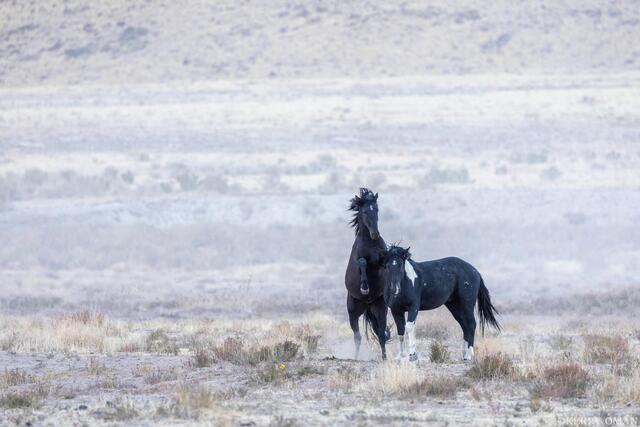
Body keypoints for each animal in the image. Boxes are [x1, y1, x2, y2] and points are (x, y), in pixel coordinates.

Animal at [344, 188, 389, 360]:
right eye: (364, 211)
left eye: (376, 209)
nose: (375, 234)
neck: (370, 243)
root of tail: (368, 303)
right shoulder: (360, 260)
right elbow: (363, 263)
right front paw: (364, 287)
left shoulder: (381, 261)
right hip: (353, 311)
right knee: (357, 336)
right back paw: (356, 358)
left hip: (381, 309)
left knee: (381, 334)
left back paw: (384, 358)